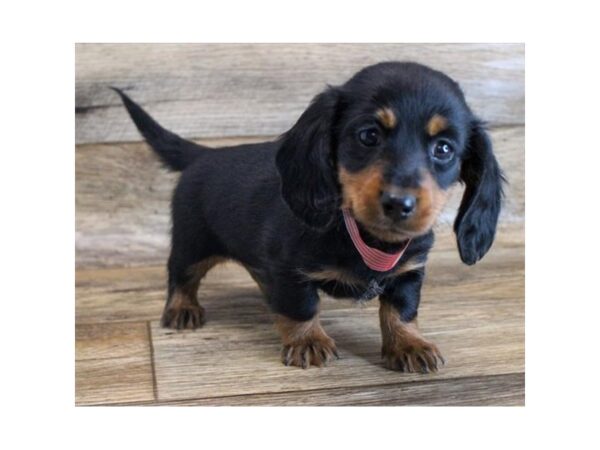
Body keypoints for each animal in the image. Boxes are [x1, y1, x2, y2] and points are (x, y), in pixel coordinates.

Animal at [115, 61, 504, 374]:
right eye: (368, 135)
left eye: (444, 149)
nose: (399, 204)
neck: (360, 235)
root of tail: (204, 155)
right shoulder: (288, 269)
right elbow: (301, 306)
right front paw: (307, 342)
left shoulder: (410, 271)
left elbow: (402, 311)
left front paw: (410, 344)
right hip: (192, 241)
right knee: (181, 274)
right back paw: (182, 307)